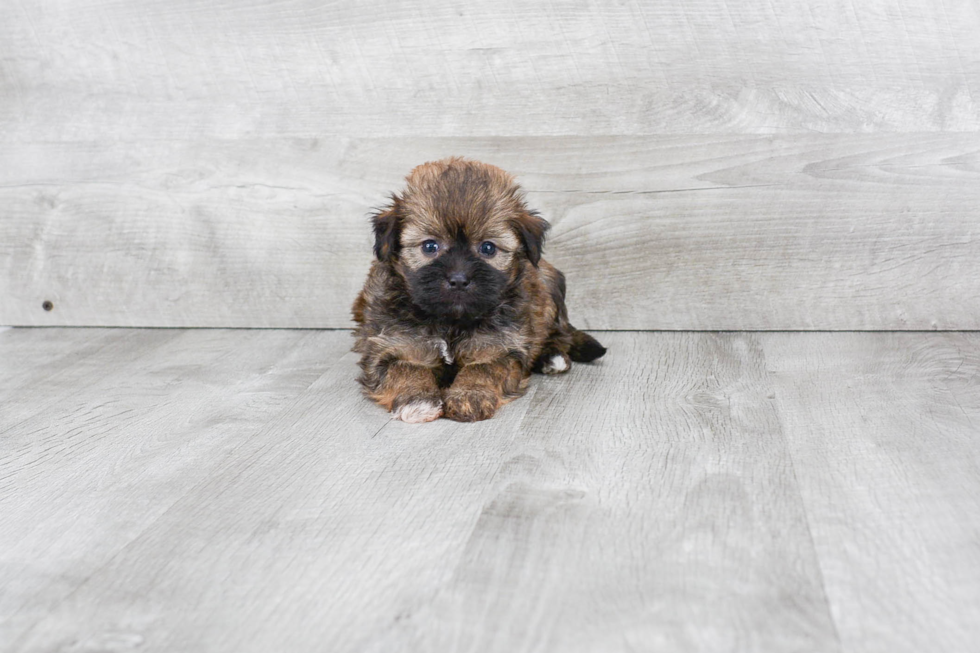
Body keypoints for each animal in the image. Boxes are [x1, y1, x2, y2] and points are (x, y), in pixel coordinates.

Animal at [352, 157, 604, 422]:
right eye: (430, 246)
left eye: (488, 248)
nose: (459, 279)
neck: (451, 322)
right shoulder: (391, 345)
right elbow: (404, 367)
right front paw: (417, 398)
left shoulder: (500, 346)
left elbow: (484, 368)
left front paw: (470, 394)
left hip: (548, 283)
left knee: (559, 333)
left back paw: (552, 356)